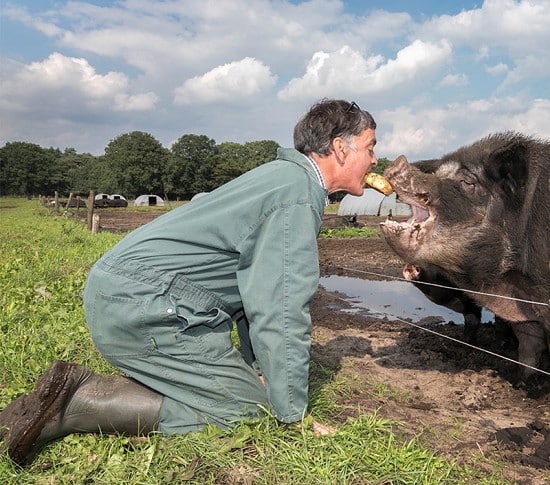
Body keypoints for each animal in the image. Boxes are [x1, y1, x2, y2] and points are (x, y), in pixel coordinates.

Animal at [382, 133, 548, 378]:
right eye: (439, 173)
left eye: (468, 182)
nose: (400, 160)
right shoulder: (524, 313)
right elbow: (528, 351)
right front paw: (523, 381)